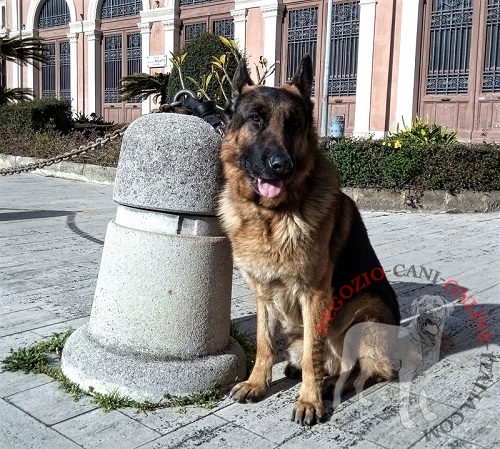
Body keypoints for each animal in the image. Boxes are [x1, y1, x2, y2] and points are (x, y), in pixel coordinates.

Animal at [217, 55, 400, 424]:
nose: (281, 166)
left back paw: (329, 384)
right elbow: (263, 343)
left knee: (365, 369)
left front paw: (309, 400)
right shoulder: (263, 295)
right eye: (255, 118)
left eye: (294, 123)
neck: (271, 216)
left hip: (364, 309)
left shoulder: (315, 295)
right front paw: (257, 382)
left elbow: (313, 357)